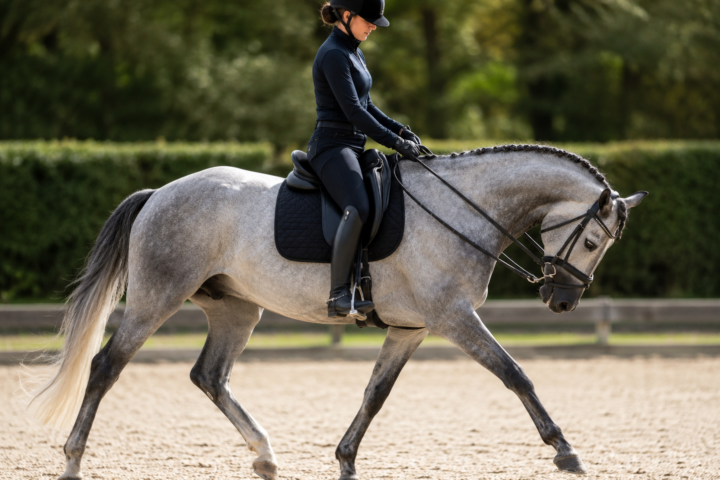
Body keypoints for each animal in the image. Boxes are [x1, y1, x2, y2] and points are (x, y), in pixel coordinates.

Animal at [28, 144, 647, 480]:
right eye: (593, 241)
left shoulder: (413, 328)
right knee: (106, 367)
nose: (561, 301)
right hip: (157, 297)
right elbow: (515, 374)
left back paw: (265, 455)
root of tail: (159, 193)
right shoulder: (453, 317)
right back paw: (73, 459)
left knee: (209, 375)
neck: (462, 208)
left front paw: (346, 457)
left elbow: (375, 393)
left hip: (236, 311)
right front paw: (565, 451)